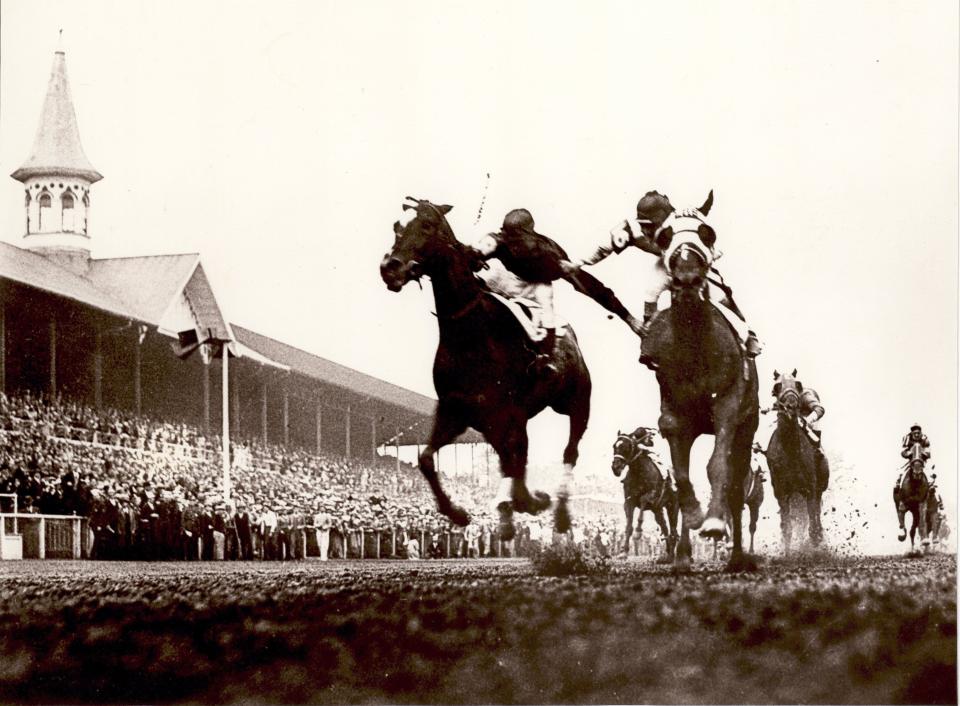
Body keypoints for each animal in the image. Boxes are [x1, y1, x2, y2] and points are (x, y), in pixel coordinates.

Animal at [380, 198, 592, 540]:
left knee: (568, 452)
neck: (470, 335)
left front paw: (529, 502)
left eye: (427, 225)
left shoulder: (508, 412)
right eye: (397, 226)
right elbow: (425, 459)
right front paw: (458, 512)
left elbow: (517, 459)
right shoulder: (457, 411)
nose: (390, 267)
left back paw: (558, 515)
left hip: (577, 403)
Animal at [640, 192, 760, 572]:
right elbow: (680, 478)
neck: (696, 346)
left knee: (736, 486)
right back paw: (682, 556)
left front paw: (713, 522)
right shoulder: (676, 416)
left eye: (707, 232)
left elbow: (717, 466)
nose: (688, 278)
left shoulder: (728, 405)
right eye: (665, 236)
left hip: (748, 427)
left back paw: (736, 556)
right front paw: (694, 518)